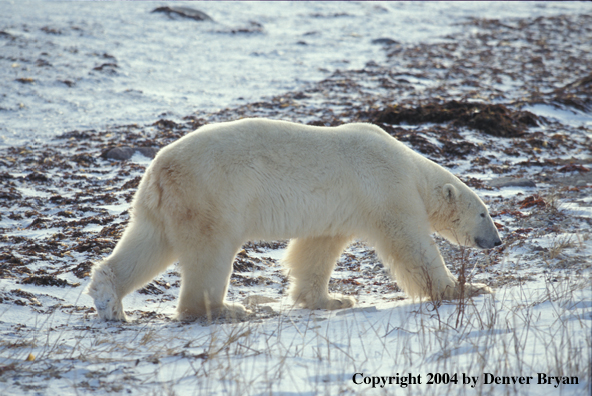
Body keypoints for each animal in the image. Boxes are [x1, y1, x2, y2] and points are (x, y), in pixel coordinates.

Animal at [86, 118, 500, 322]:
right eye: (484, 212)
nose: (496, 240)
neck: (411, 169)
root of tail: (161, 168)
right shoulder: (386, 190)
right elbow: (412, 246)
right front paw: (466, 289)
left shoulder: (339, 210)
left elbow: (315, 250)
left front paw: (331, 299)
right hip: (213, 194)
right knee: (210, 253)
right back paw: (228, 311)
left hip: (164, 204)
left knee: (147, 244)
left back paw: (110, 301)